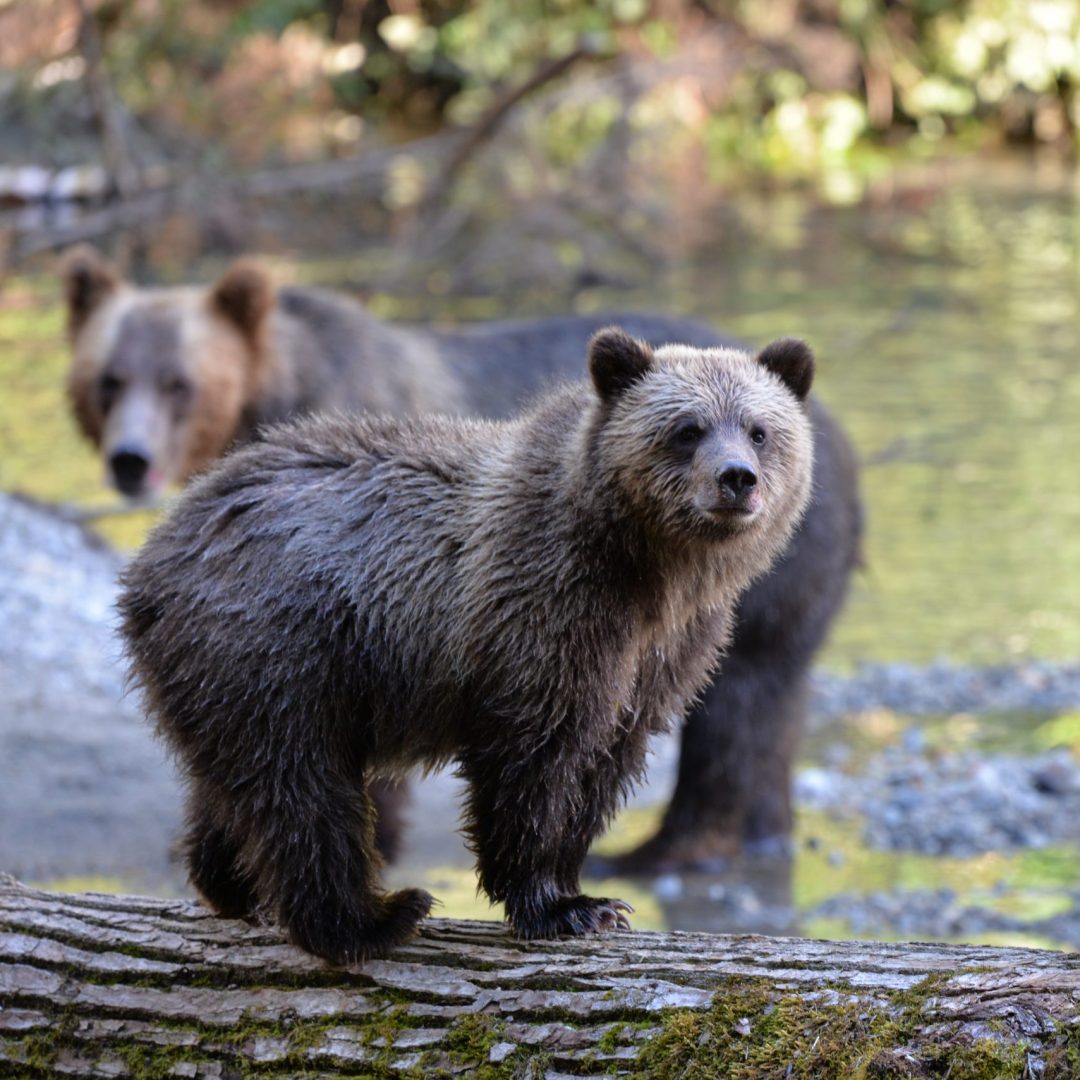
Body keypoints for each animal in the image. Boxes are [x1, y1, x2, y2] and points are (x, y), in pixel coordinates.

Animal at [65, 245, 859, 868]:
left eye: (178, 380)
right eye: (109, 378)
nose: (130, 460)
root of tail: (844, 441)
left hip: (778, 587)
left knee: (739, 704)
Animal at [118, 328, 812, 963]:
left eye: (758, 430)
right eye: (688, 429)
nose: (736, 480)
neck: (651, 567)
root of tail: (152, 560)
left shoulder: (665, 653)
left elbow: (604, 763)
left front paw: (589, 895)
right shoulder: (541, 611)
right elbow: (531, 762)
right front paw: (556, 905)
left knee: (234, 782)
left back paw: (235, 887)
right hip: (277, 642)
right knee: (302, 789)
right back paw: (372, 918)